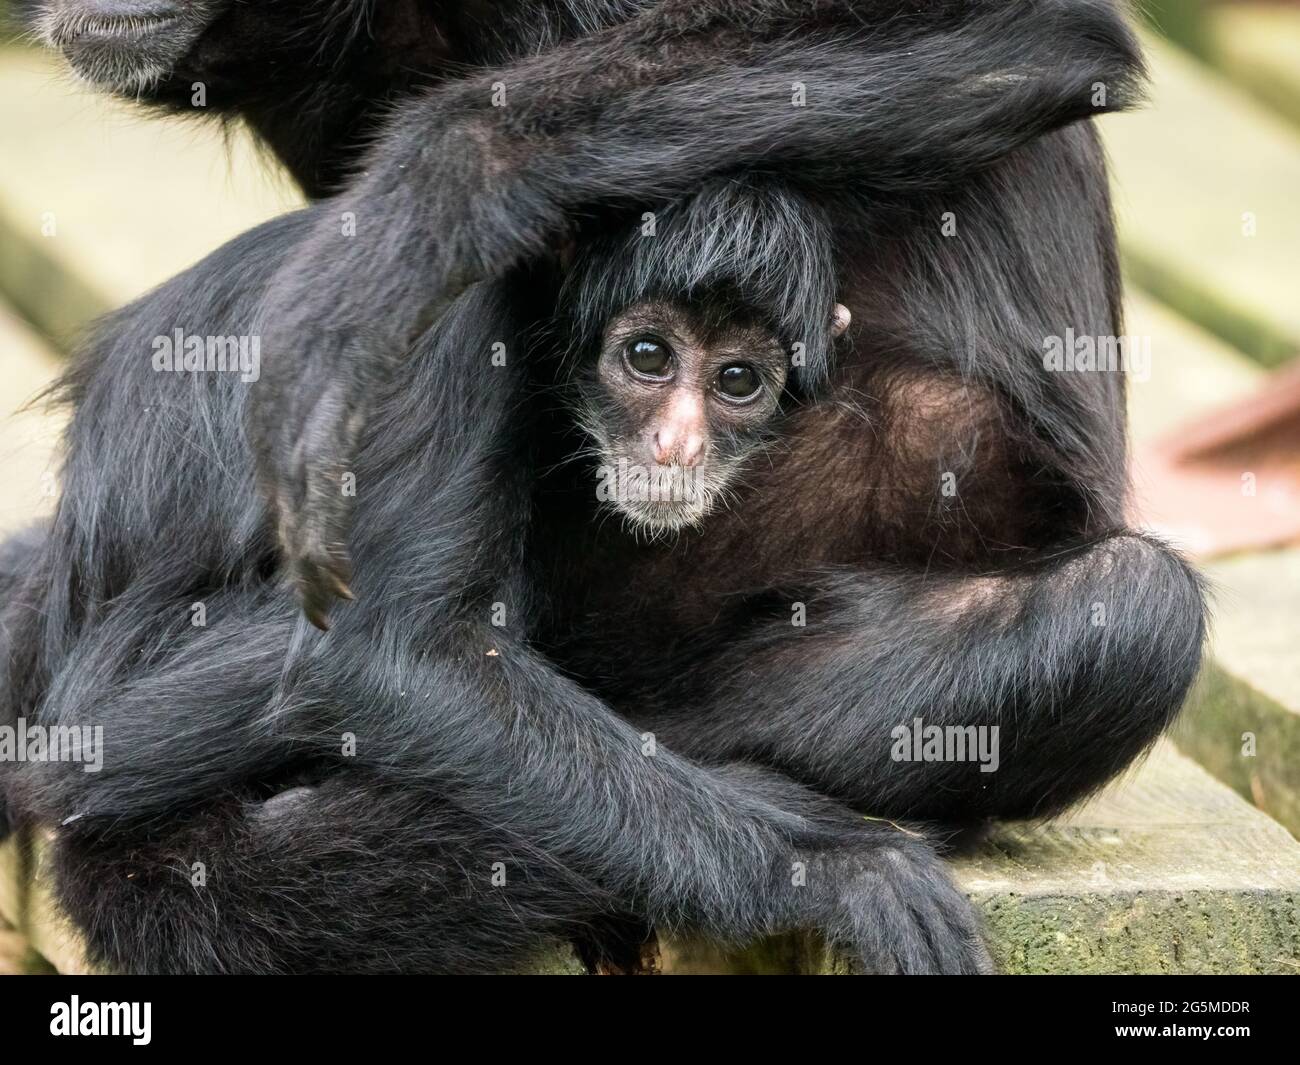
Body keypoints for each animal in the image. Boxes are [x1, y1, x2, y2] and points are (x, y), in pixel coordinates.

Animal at [2, 0, 1206, 972]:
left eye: (729, 380)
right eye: (646, 360)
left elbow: (1036, 29)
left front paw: (435, 193)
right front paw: (823, 864)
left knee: (1131, 604)